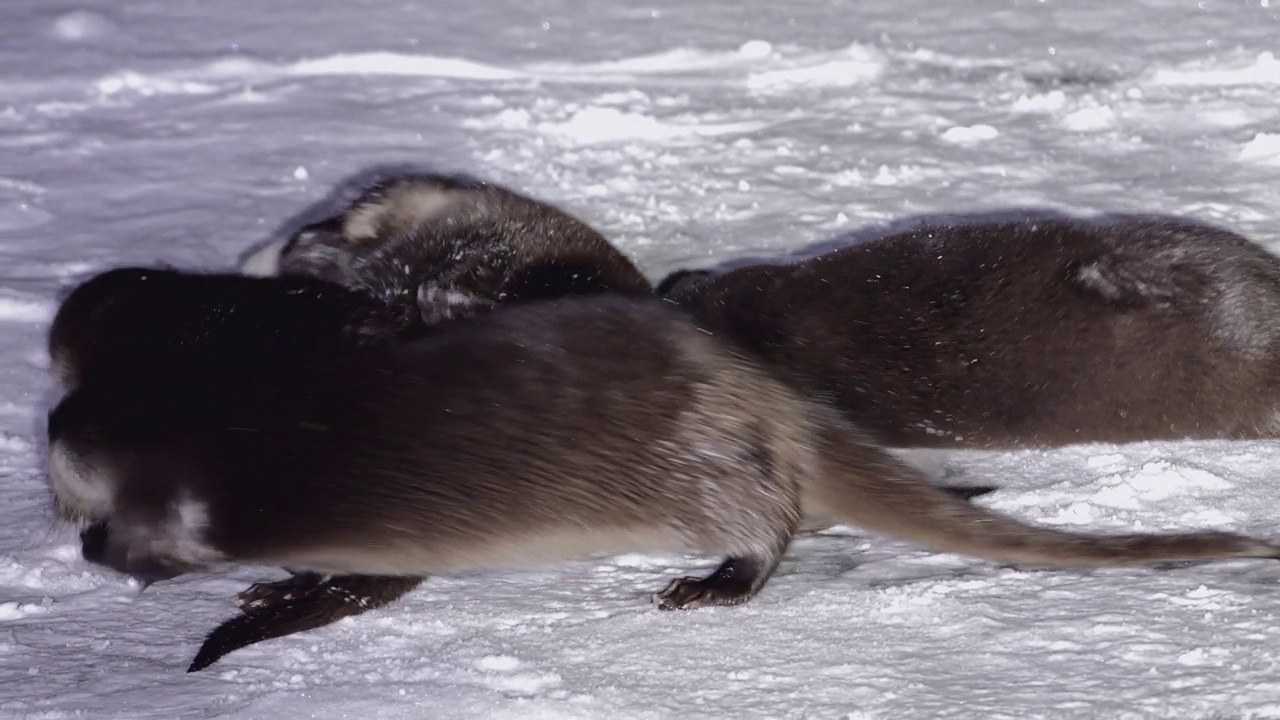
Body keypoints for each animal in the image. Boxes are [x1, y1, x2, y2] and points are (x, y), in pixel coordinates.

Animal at [49, 293, 1280, 666]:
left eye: (83, 490)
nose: (78, 538)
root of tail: (771, 397)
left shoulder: (369, 527)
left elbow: (347, 582)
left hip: (699, 472)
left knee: (771, 525)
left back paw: (713, 583)